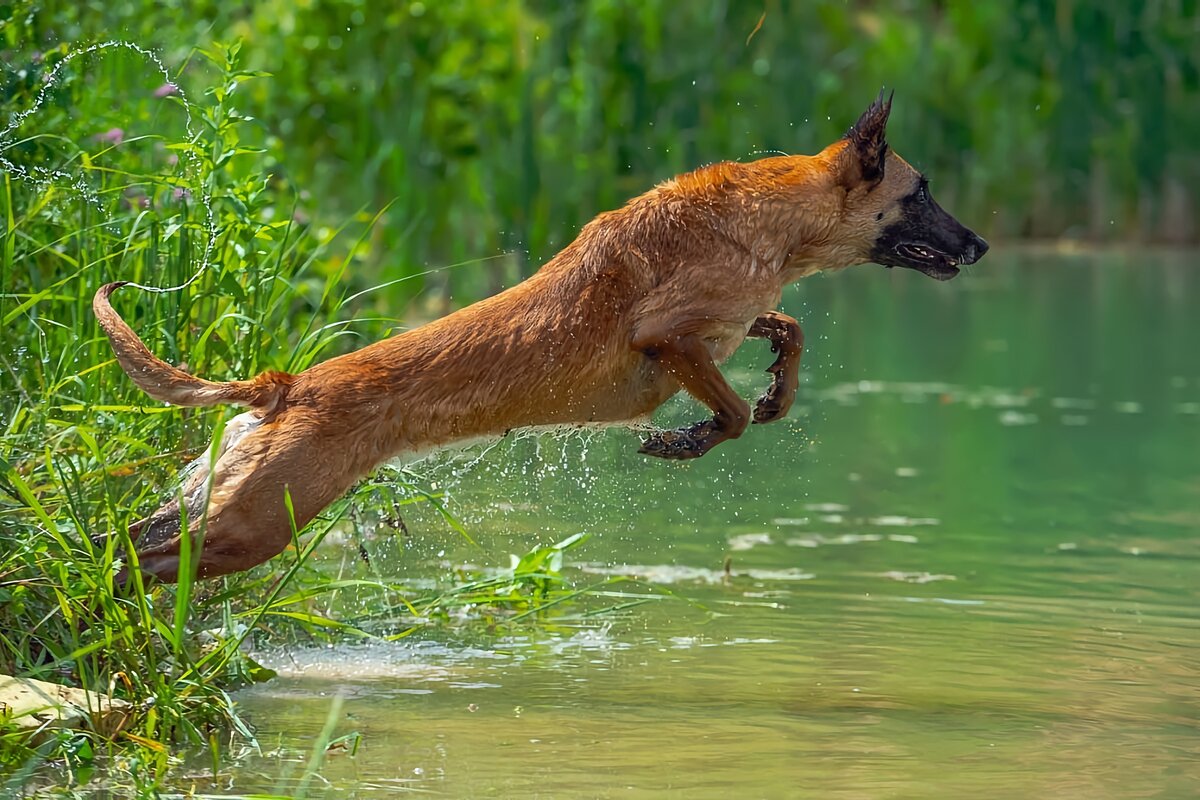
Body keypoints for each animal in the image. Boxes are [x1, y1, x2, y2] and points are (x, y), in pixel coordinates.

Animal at [93, 92, 988, 582]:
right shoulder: (668, 338)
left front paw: (777, 390)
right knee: (148, 559)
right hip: (257, 523)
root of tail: (286, 385)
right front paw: (687, 440)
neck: (770, 217)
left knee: (126, 538)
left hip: (227, 497)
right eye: (922, 191)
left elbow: (787, 330)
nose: (979, 245)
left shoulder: (728, 323)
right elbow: (729, 413)